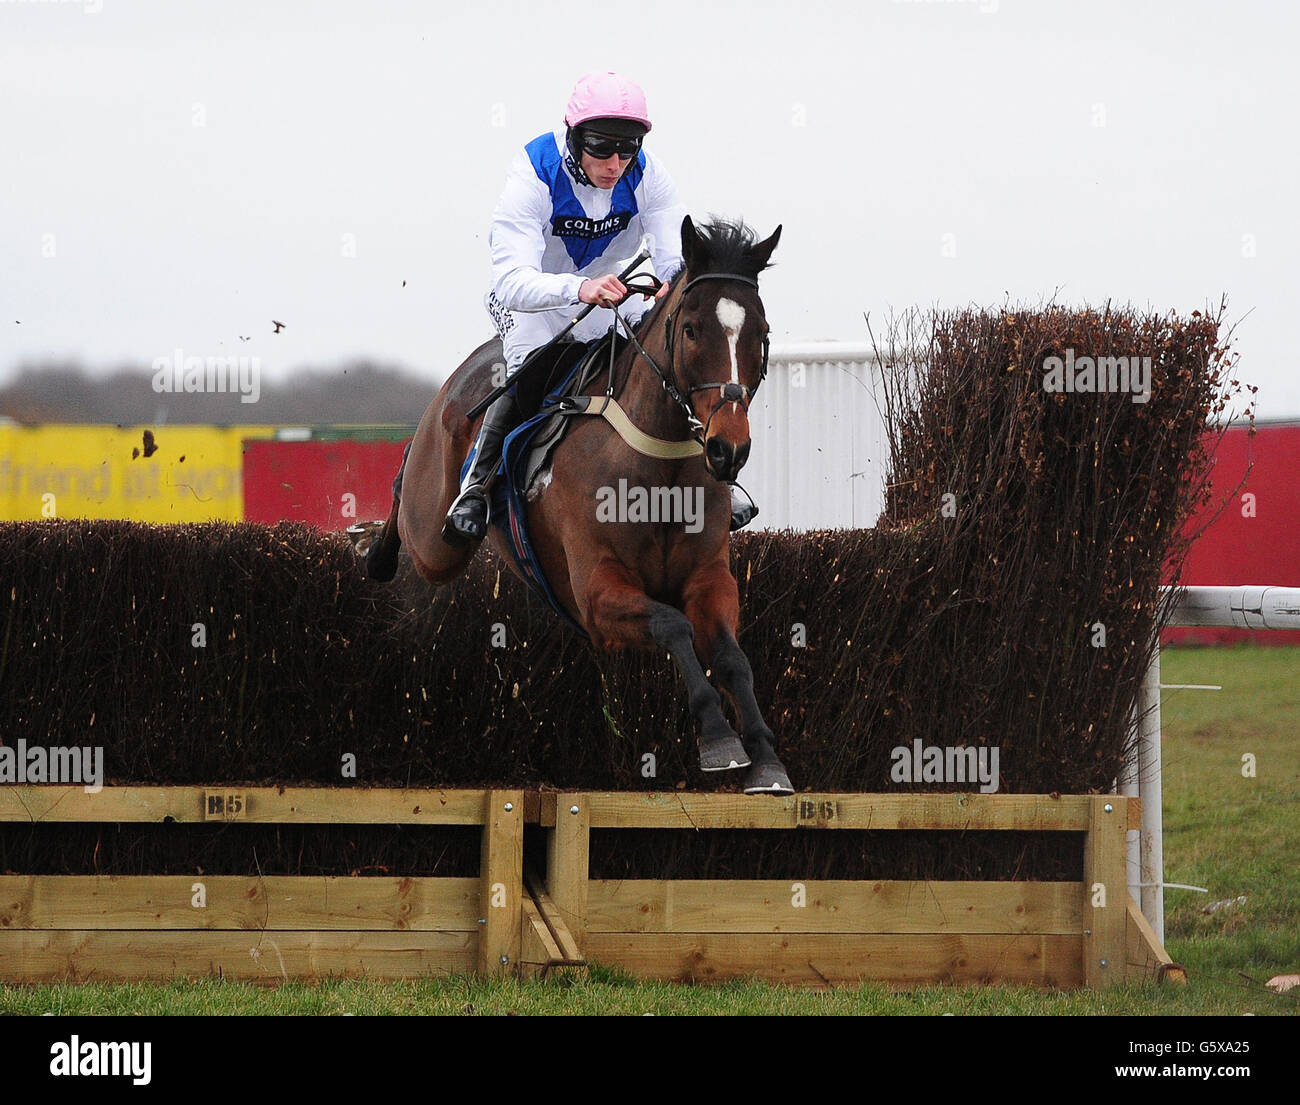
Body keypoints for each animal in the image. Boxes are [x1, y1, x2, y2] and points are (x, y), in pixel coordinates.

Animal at [364, 215, 790, 795]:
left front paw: (767, 758)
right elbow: (673, 625)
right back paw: (378, 548)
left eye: (761, 334)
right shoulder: (595, 595)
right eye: (692, 329)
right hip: (435, 538)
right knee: (409, 502)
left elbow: (730, 657)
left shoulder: (710, 577)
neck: (657, 466)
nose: (729, 449)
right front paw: (719, 739)